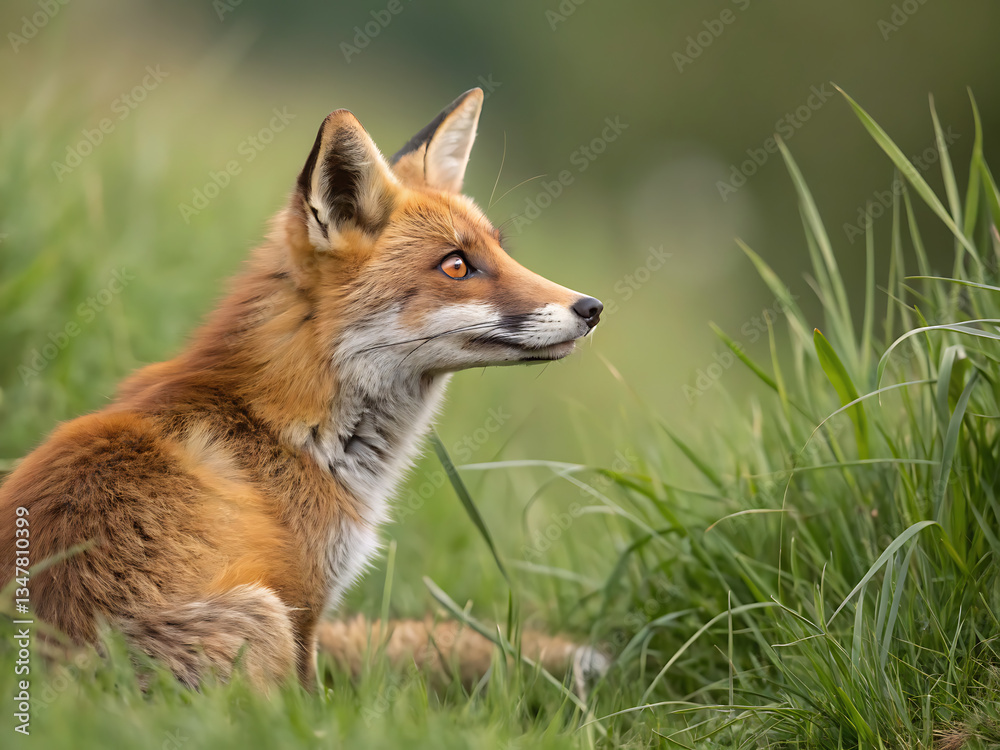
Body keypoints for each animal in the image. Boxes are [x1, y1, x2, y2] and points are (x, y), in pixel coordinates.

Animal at [0, 88, 605, 691]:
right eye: (457, 265)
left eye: (501, 251)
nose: (592, 307)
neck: (286, 425)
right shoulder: (302, 603)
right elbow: (311, 702)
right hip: (260, 616)